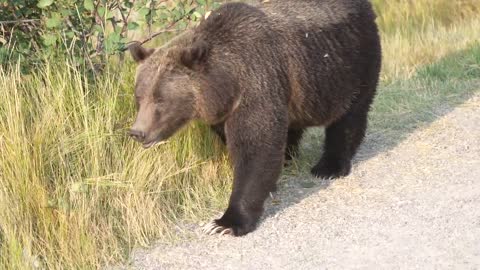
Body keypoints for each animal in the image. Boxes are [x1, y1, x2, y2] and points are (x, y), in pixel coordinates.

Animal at [128, 0, 382, 236]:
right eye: (139, 96)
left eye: (161, 100)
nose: (138, 132)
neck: (226, 83)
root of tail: (366, 6)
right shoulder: (227, 110)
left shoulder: (256, 83)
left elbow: (256, 148)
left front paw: (225, 223)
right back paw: (289, 157)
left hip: (350, 63)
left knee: (349, 116)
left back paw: (328, 167)